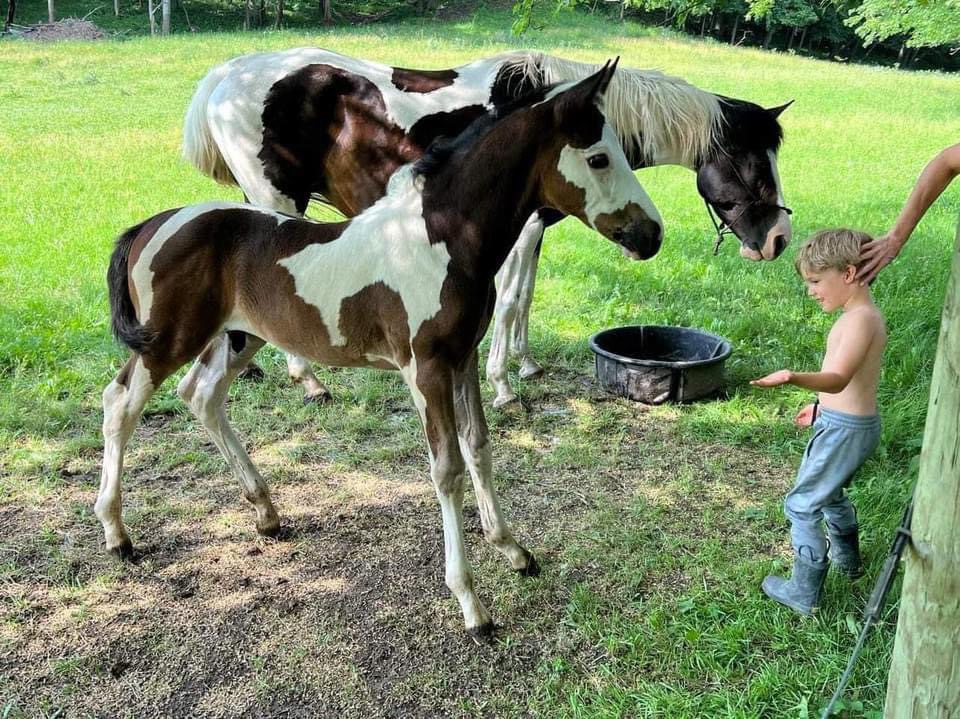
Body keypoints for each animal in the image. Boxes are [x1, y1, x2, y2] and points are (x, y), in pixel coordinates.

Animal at [98, 62, 664, 635]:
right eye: (598, 157)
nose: (652, 235)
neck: (438, 238)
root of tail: (151, 225)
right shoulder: (427, 368)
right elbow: (447, 469)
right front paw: (471, 604)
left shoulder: (462, 359)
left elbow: (479, 448)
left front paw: (513, 551)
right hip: (167, 340)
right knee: (119, 402)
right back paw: (118, 535)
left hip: (240, 336)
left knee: (202, 395)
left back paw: (266, 513)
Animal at [183, 48, 793, 407]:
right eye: (753, 163)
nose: (778, 240)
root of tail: (224, 76)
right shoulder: (518, 232)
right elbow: (512, 297)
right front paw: (502, 384)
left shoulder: (535, 228)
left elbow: (524, 297)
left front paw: (525, 366)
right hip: (278, 200)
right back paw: (308, 381)